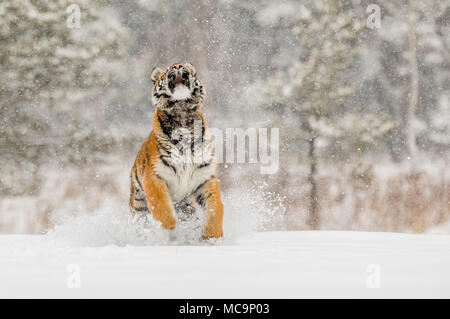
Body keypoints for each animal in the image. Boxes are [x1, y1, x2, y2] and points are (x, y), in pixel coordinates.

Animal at [128, 62, 223, 239]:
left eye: (189, 69)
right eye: (167, 70)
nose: (177, 66)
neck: (182, 114)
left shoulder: (205, 178)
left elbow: (216, 207)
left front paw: (212, 237)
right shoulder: (154, 177)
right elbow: (162, 208)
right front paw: (171, 232)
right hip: (138, 208)